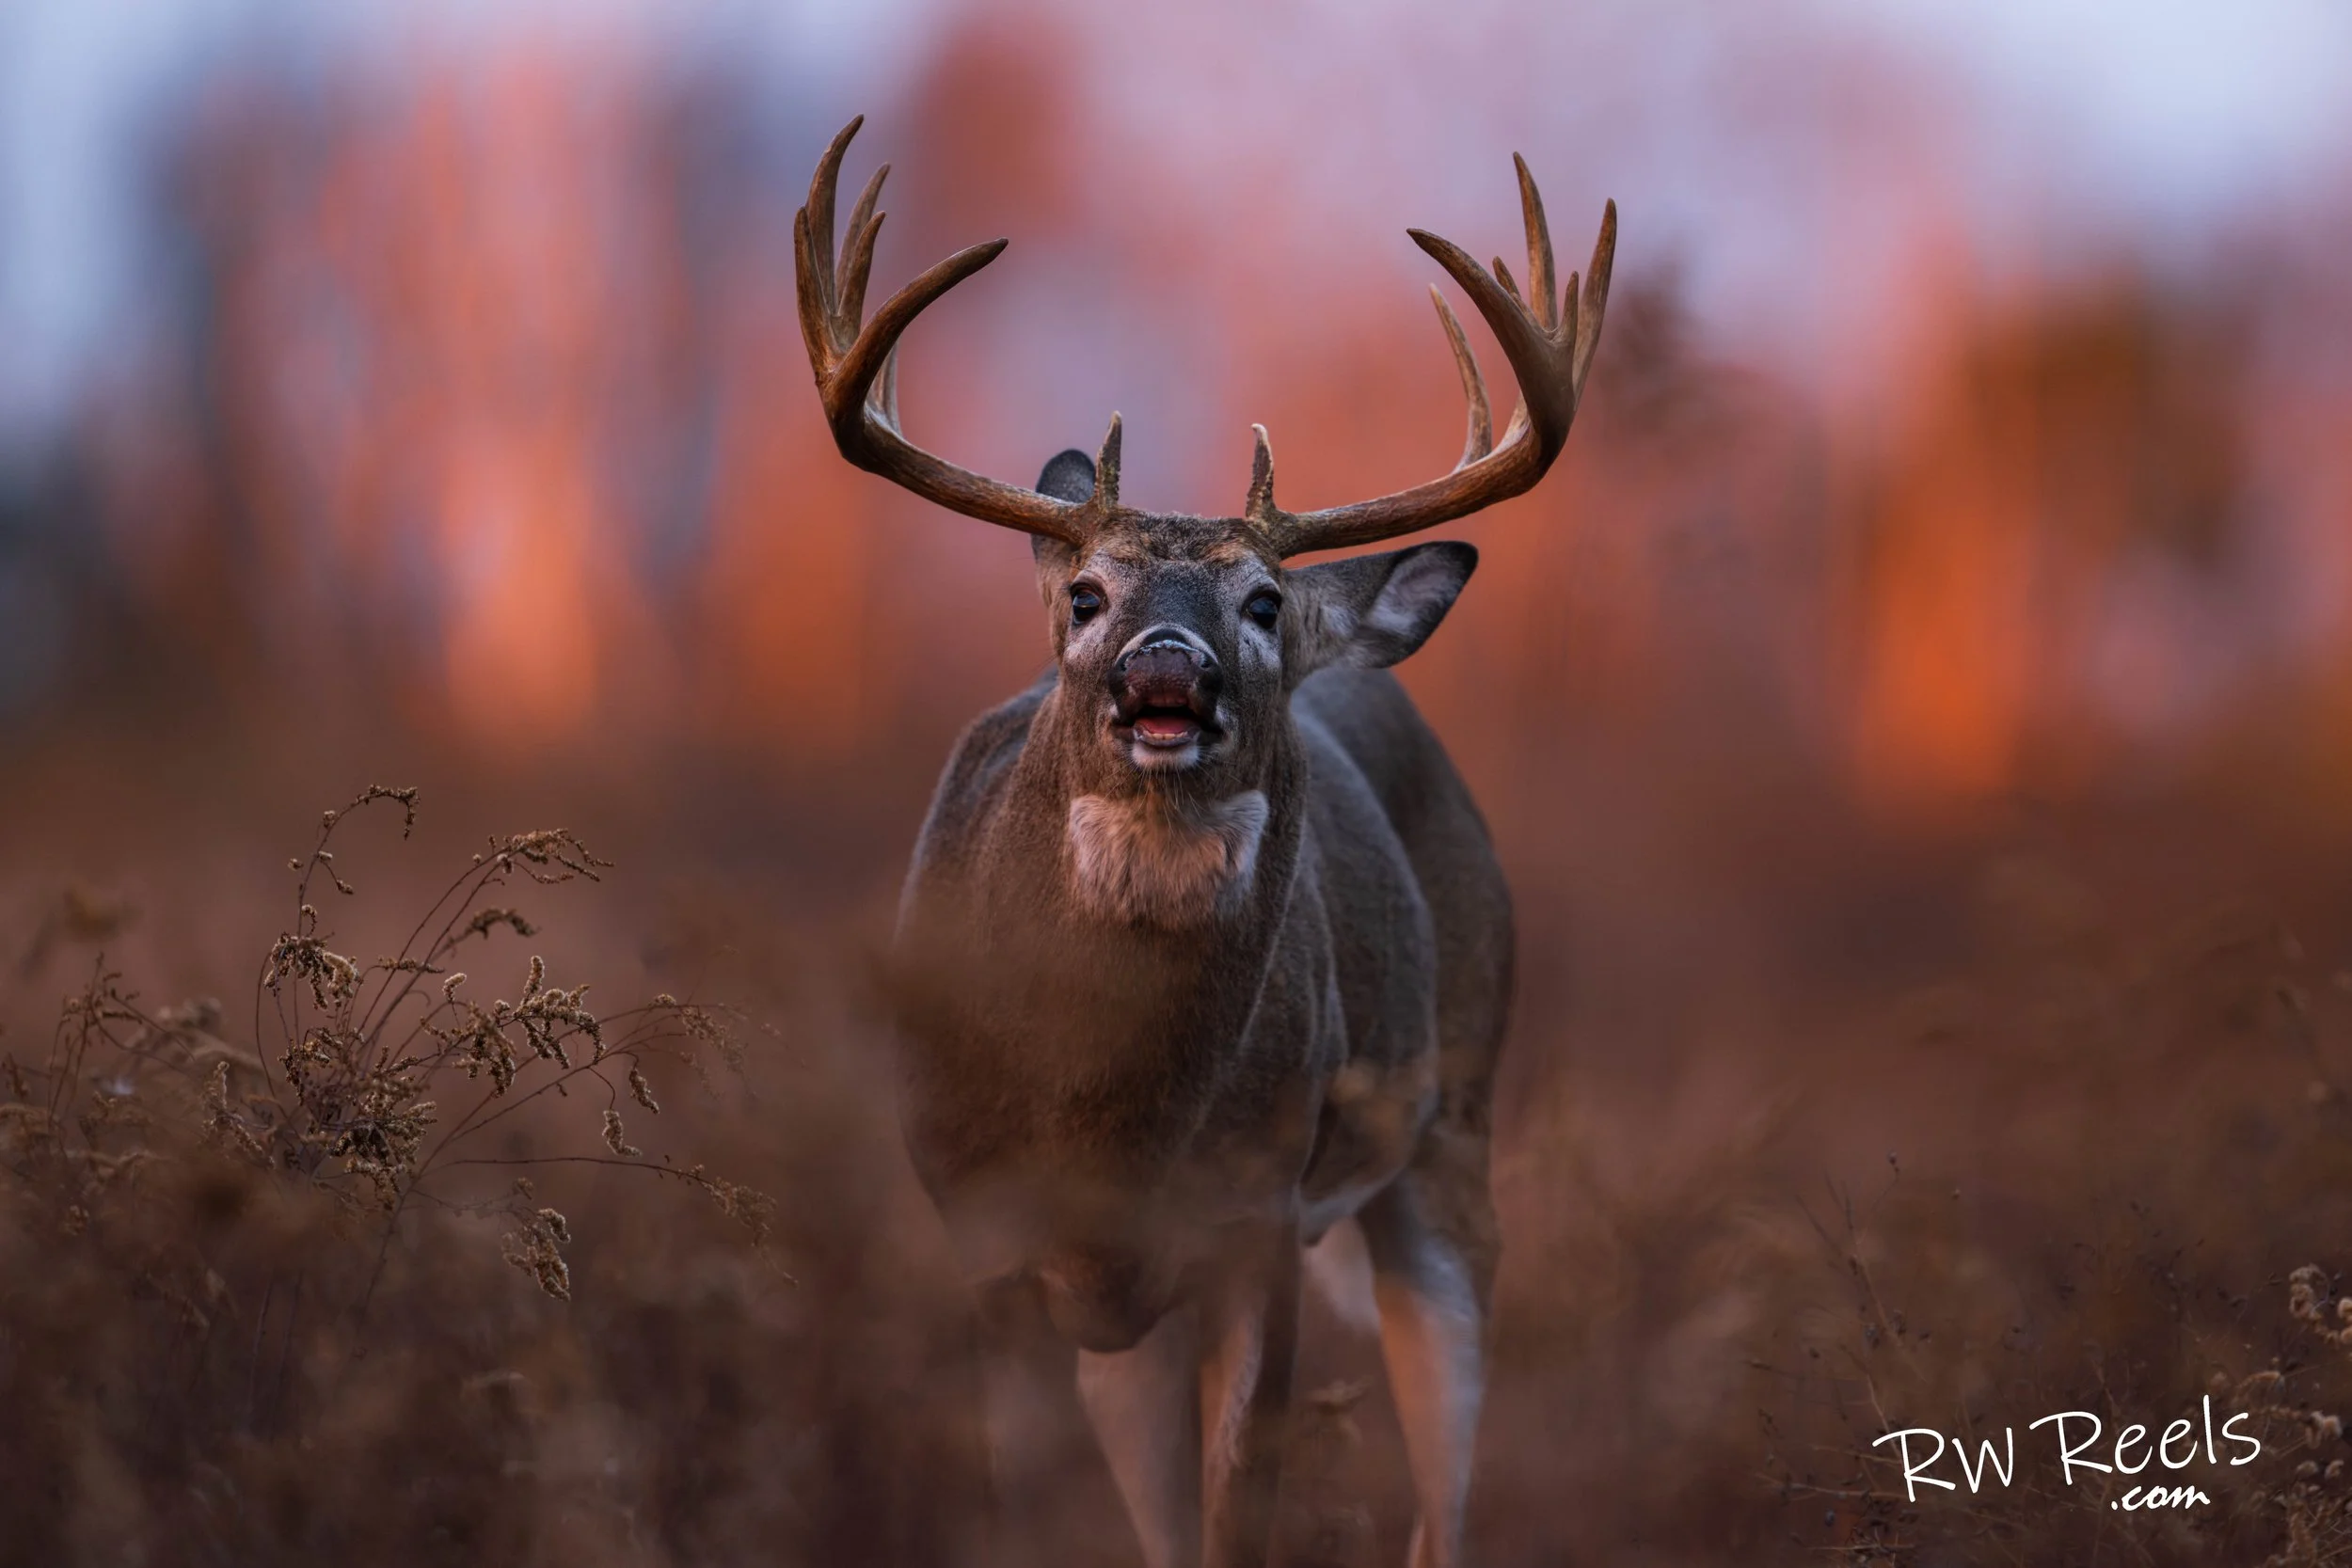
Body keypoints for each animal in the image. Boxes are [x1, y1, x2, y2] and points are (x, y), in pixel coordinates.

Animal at [794, 116, 1613, 1568]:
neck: (1105, 1120)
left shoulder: (1257, 1223)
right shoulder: (982, 1235)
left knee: (1442, 1504)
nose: (1164, 665)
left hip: (1454, 1128)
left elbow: (1244, 1521)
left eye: (1262, 598)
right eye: (1085, 592)